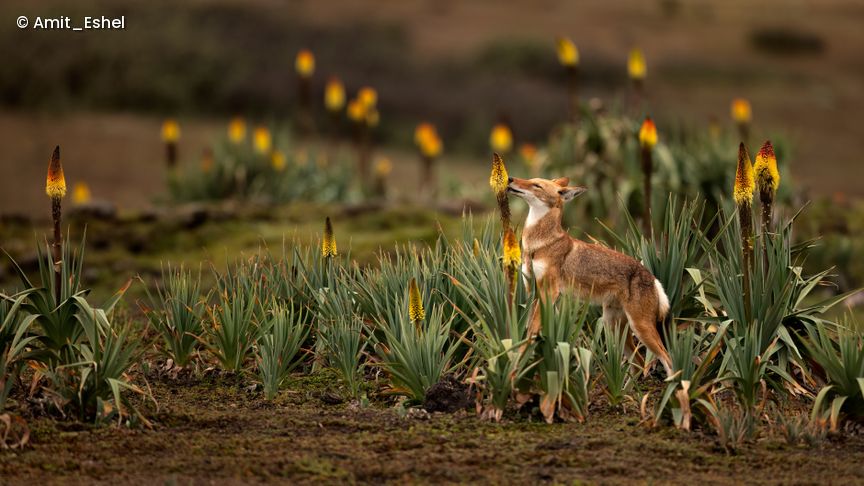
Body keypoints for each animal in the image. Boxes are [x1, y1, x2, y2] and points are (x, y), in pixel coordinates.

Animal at [507, 175, 673, 376]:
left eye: (536, 185)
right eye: (530, 179)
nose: (510, 178)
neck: (537, 245)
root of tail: (652, 276)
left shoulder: (549, 292)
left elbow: (531, 330)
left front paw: (519, 362)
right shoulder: (532, 290)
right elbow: (528, 327)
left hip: (640, 328)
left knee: (668, 359)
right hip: (614, 328)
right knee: (639, 363)